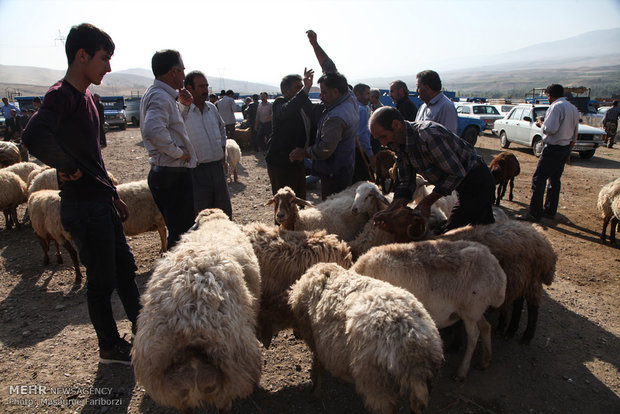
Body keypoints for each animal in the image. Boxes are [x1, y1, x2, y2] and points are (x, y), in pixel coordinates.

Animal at [288, 262, 444, 414]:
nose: (295, 334)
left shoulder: (312, 336)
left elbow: (318, 366)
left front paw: (314, 393)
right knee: (415, 408)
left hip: (376, 384)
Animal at [354, 239, 508, 382]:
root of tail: (497, 271)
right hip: (474, 310)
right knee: (486, 327)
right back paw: (485, 361)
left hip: (471, 309)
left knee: (474, 335)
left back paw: (461, 371)